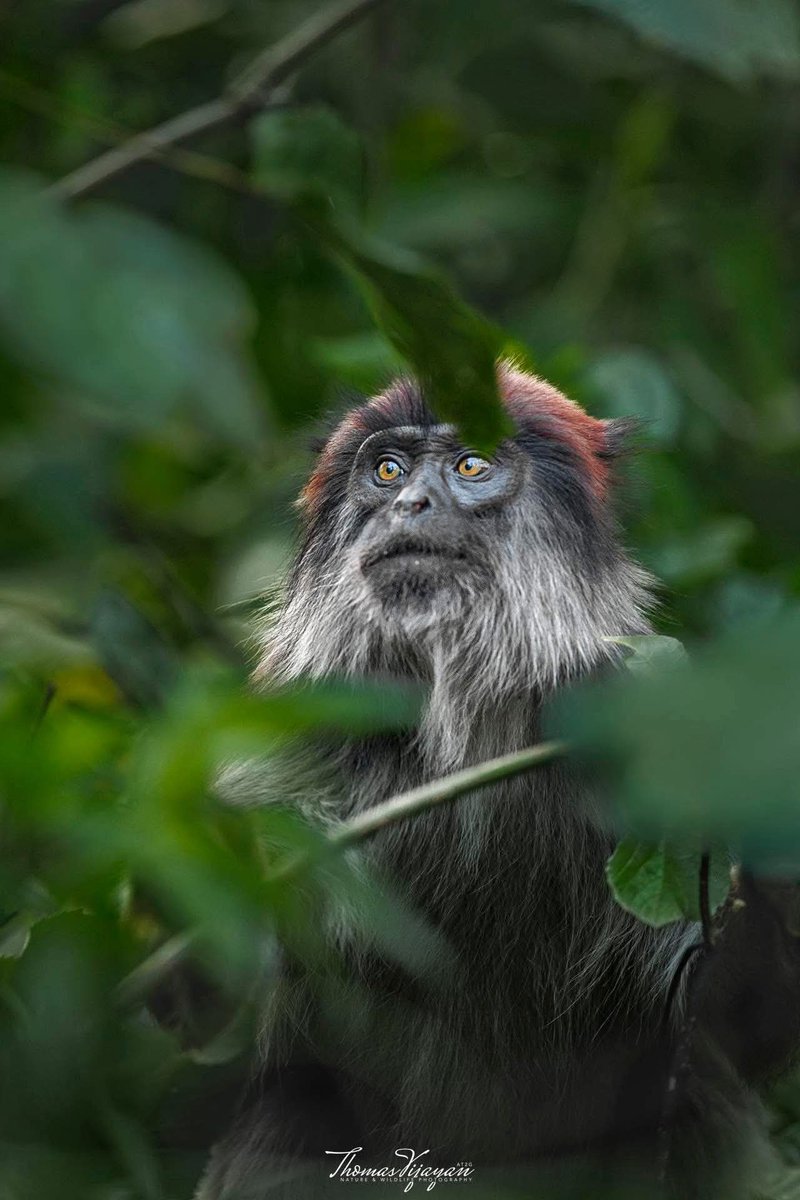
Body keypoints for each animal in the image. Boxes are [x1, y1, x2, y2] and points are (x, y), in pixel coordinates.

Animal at [195, 366, 800, 1200]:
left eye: (471, 466)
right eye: (388, 471)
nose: (410, 504)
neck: (466, 744)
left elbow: (731, 1021)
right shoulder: (292, 747)